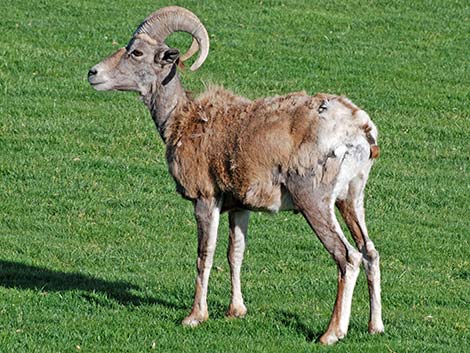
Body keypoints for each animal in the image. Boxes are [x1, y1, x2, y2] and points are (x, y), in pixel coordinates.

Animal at [89, 5, 386, 344]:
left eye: (136, 52)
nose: (93, 73)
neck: (183, 121)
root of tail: (359, 130)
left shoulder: (206, 200)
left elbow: (205, 255)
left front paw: (194, 317)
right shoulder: (240, 208)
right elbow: (236, 253)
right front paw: (236, 311)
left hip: (315, 203)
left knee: (347, 257)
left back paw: (332, 333)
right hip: (351, 200)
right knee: (370, 252)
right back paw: (375, 327)